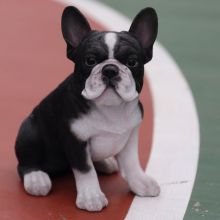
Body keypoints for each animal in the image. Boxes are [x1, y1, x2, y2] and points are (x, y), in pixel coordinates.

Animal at [15, 5, 160, 211]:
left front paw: (141, 183)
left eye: (132, 62)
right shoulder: (76, 141)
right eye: (90, 61)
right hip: (29, 132)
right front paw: (91, 197)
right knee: (25, 163)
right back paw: (36, 179)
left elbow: (132, 163)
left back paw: (105, 163)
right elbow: (86, 171)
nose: (110, 69)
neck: (110, 108)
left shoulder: (130, 135)